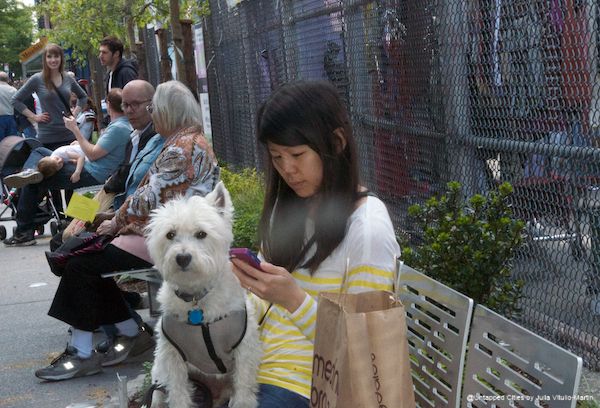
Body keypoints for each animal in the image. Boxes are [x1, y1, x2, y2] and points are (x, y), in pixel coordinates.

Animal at [145, 182, 260, 408]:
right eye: (170, 234)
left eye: (201, 234)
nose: (182, 257)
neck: (197, 301)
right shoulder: (172, 355)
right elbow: (178, 391)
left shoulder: (244, 347)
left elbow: (243, 385)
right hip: (158, 373)